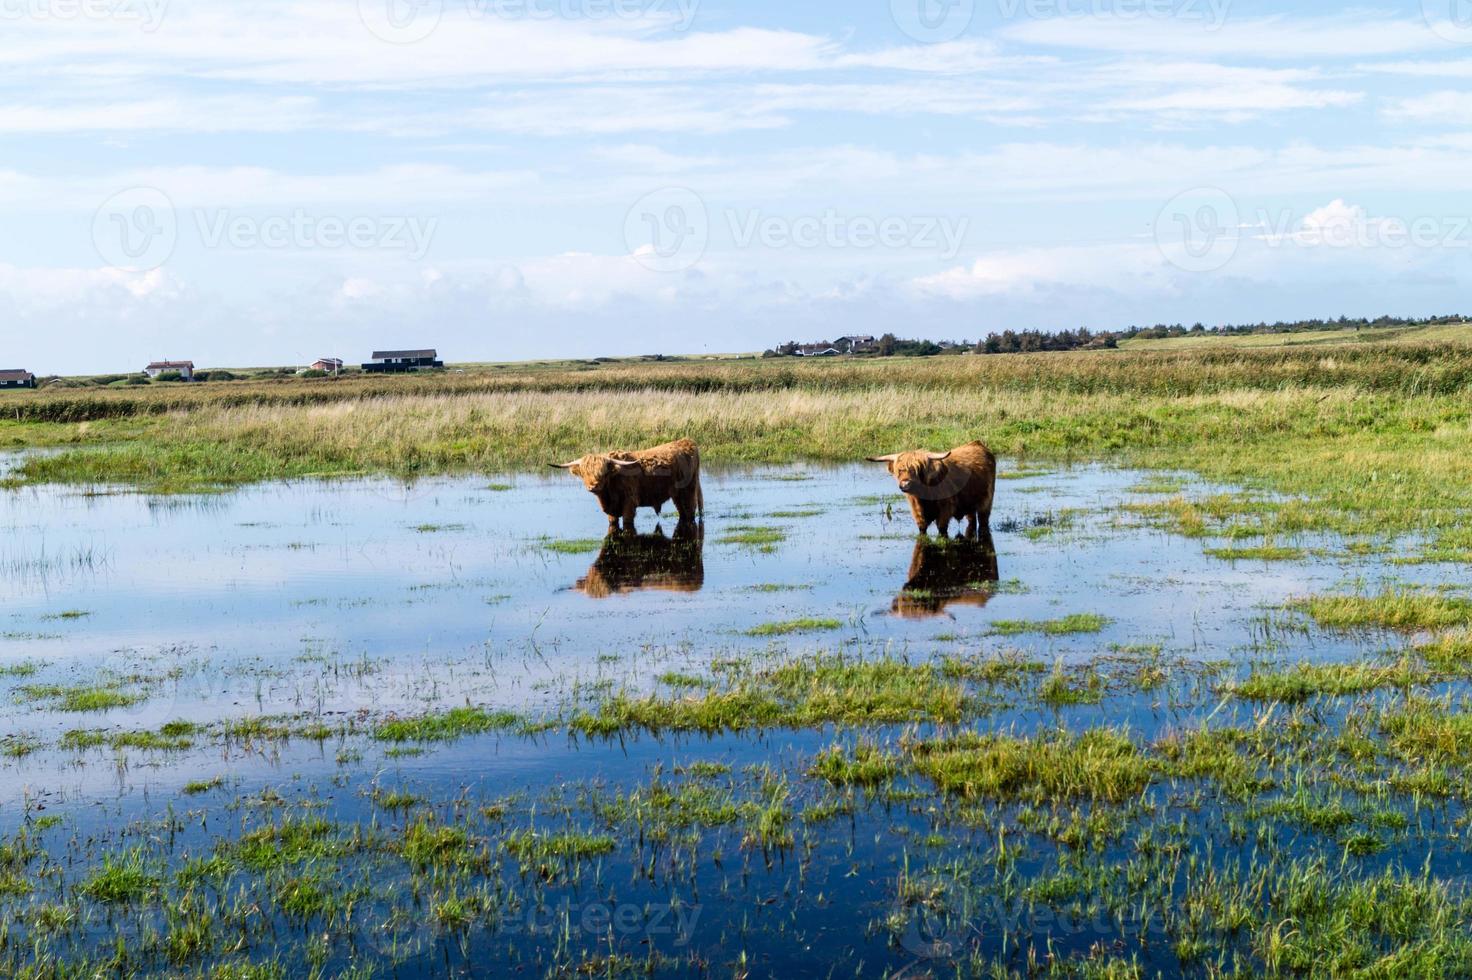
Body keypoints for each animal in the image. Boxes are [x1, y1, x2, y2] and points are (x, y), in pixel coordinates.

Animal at [553, 435, 709, 529]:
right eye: (585, 473)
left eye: (603, 473)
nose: (593, 486)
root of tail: (687, 441)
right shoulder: (612, 512)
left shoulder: (630, 502)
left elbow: (627, 523)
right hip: (677, 494)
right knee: (682, 512)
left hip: (689, 490)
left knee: (690, 512)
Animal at [865, 438, 995, 538]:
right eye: (900, 470)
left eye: (918, 470)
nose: (905, 484)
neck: (924, 497)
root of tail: (977, 444)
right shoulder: (918, 513)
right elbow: (922, 530)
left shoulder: (945, 511)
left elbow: (942, 530)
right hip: (969, 505)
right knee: (972, 520)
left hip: (987, 502)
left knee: (983, 521)